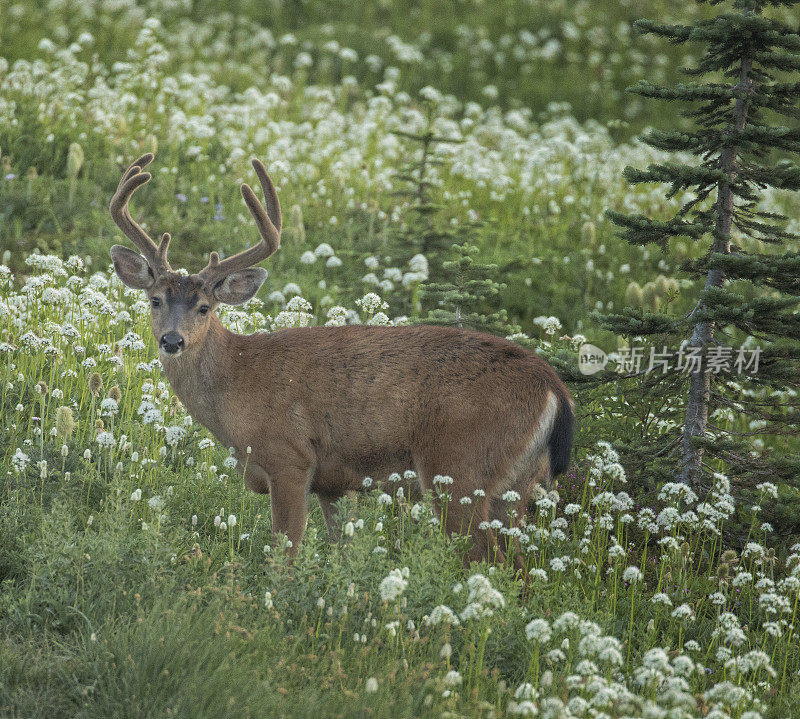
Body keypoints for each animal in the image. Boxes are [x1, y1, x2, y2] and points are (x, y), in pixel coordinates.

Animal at [111, 155, 576, 572]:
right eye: (155, 300)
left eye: (205, 307)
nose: (173, 340)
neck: (238, 381)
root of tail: (555, 388)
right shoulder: (335, 484)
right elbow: (342, 553)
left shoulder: (291, 458)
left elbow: (285, 555)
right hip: (514, 485)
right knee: (518, 570)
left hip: (460, 468)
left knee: (487, 559)